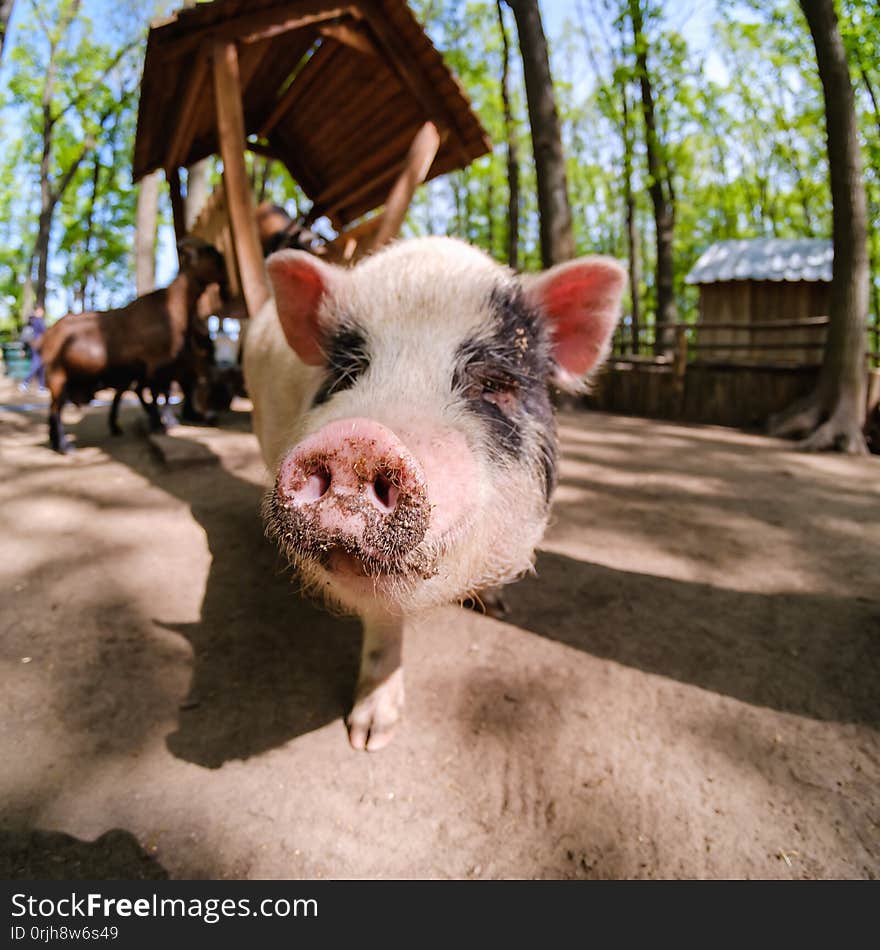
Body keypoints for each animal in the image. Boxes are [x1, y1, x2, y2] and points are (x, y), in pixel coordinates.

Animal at [40, 238, 227, 454]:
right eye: (208, 250)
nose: (223, 260)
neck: (171, 308)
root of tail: (49, 334)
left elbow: (160, 392)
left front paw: (163, 422)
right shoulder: (157, 362)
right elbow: (156, 393)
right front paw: (160, 424)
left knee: (54, 408)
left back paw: (57, 442)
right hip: (58, 376)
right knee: (55, 410)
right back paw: (64, 445)